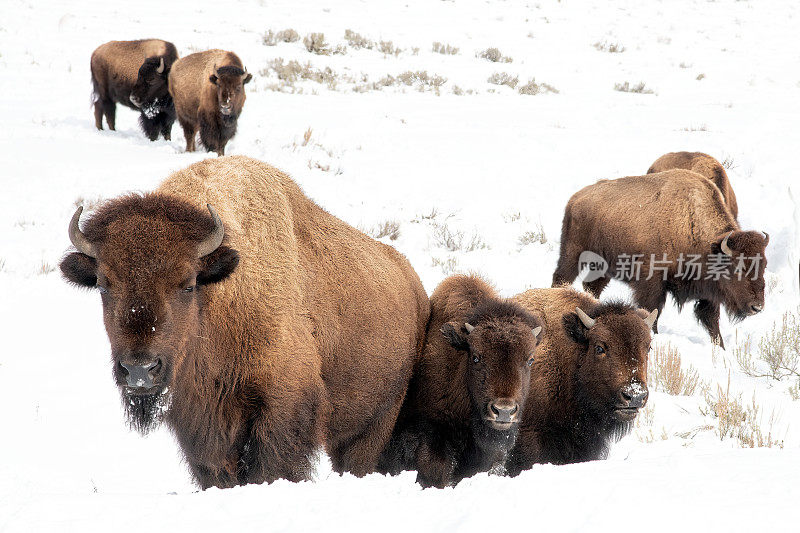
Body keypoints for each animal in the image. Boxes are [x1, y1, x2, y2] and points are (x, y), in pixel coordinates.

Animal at [60, 154, 432, 486]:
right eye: (104, 285)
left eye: (188, 284)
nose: (139, 370)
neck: (217, 297)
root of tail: (413, 284)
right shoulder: (198, 422)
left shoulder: (281, 405)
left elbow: (270, 466)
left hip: (376, 422)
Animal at [552, 168, 768, 348]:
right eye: (737, 267)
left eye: (763, 266)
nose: (757, 307)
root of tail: (576, 198)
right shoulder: (652, 282)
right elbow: (653, 311)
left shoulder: (708, 292)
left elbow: (712, 322)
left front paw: (720, 348)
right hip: (572, 254)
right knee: (561, 278)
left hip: (602, 267)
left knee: (592, 287)